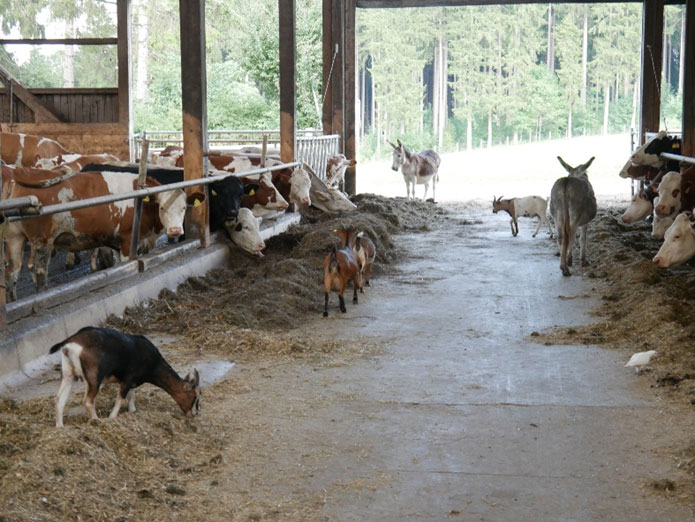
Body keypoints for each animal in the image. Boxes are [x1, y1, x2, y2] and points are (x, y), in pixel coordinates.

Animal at [4, 165, 201, 298]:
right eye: (162, 208)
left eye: (184, 207)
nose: (175, 230)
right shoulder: (127, 240)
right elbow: (126, 263)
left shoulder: (117, 241)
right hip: (42, 241)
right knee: (38, 270)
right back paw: (43, 293)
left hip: (15, 237)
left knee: (12, 271)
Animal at [48, 324, 201, 426]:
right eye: (194, 396)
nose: (194, 414)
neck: (152, 361)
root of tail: (71, 343)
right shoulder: (127, 380)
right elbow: (120, 399)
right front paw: (112, 418)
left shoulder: (130, 382)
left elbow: (131, 395)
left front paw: (132, 411)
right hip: (93, 377)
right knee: (88, 401)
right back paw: (97, 421)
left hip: (68, 374)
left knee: (59, 400)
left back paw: (60, 427)